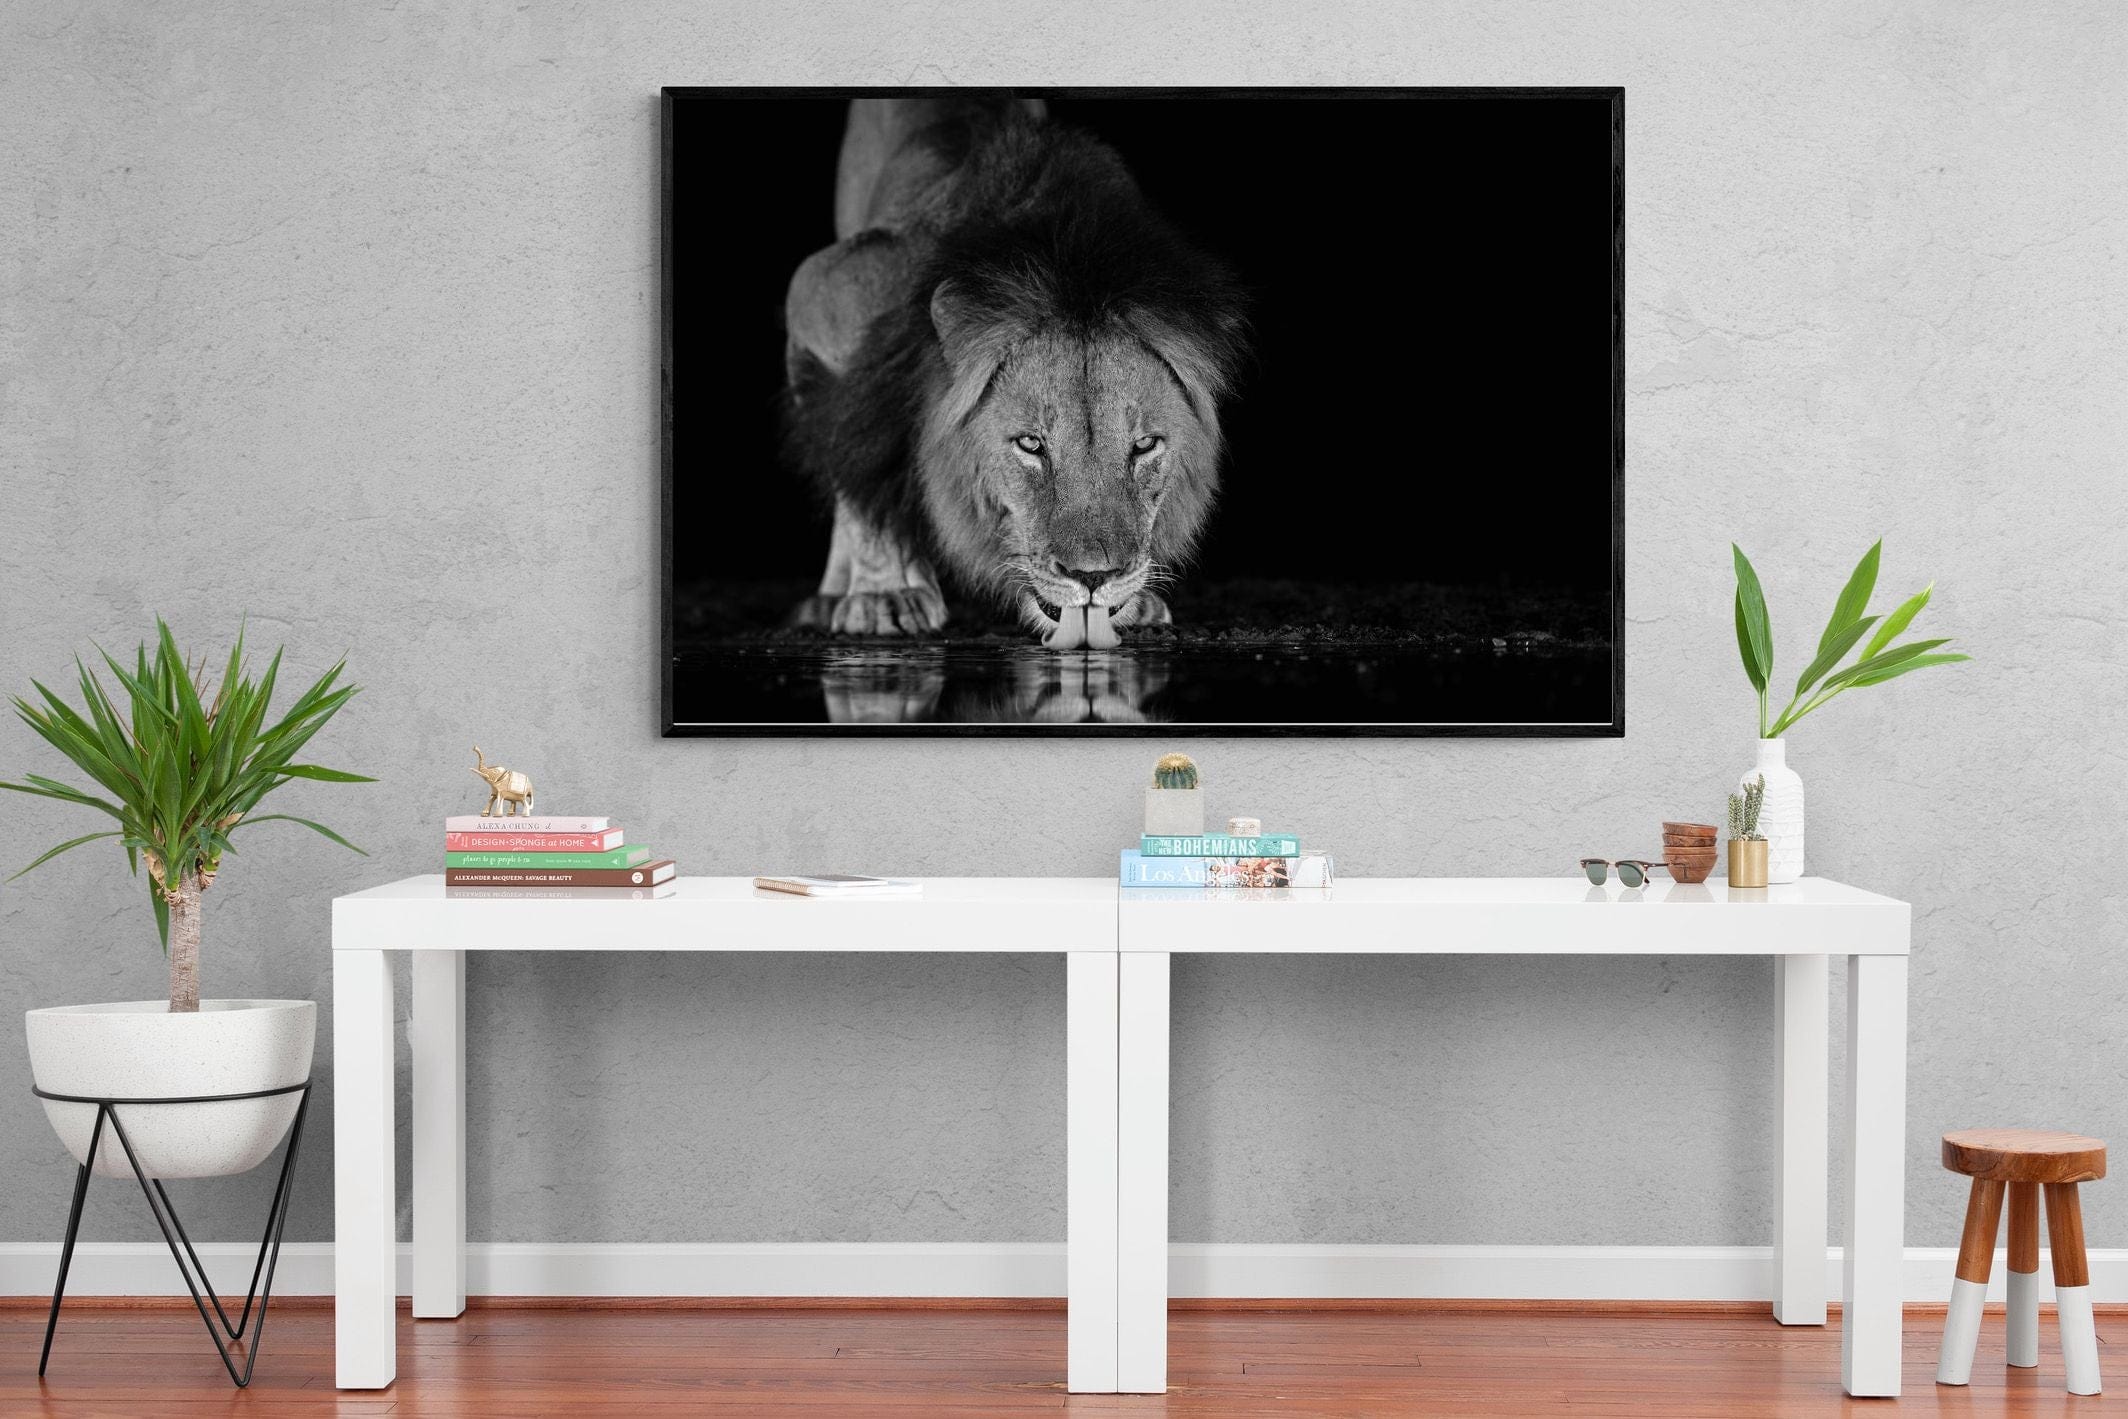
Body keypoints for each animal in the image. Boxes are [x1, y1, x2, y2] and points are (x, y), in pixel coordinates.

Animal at [780, 98, 1248, 645]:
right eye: (1030, 444)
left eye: (1145, 445)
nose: (1094, 577)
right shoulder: (823, 293)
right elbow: (860, 453)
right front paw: (884, 595)